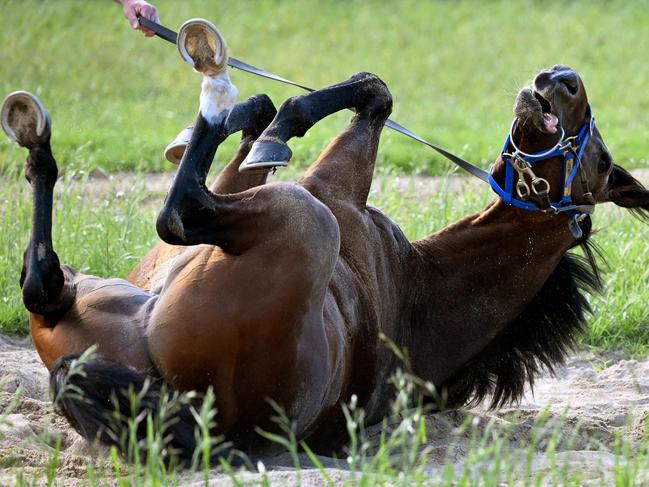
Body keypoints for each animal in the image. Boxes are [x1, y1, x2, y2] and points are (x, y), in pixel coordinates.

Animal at [2, 22, 644, 464]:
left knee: (178, 215)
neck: (416, 288)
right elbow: (280, 122)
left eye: (600, 159)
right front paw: (249, 117)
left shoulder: (328, 188)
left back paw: (206, 89)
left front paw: (272, 123)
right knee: (46, 283)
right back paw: (42, 143)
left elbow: (367, 95)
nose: (561, 76)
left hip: (306, 220)